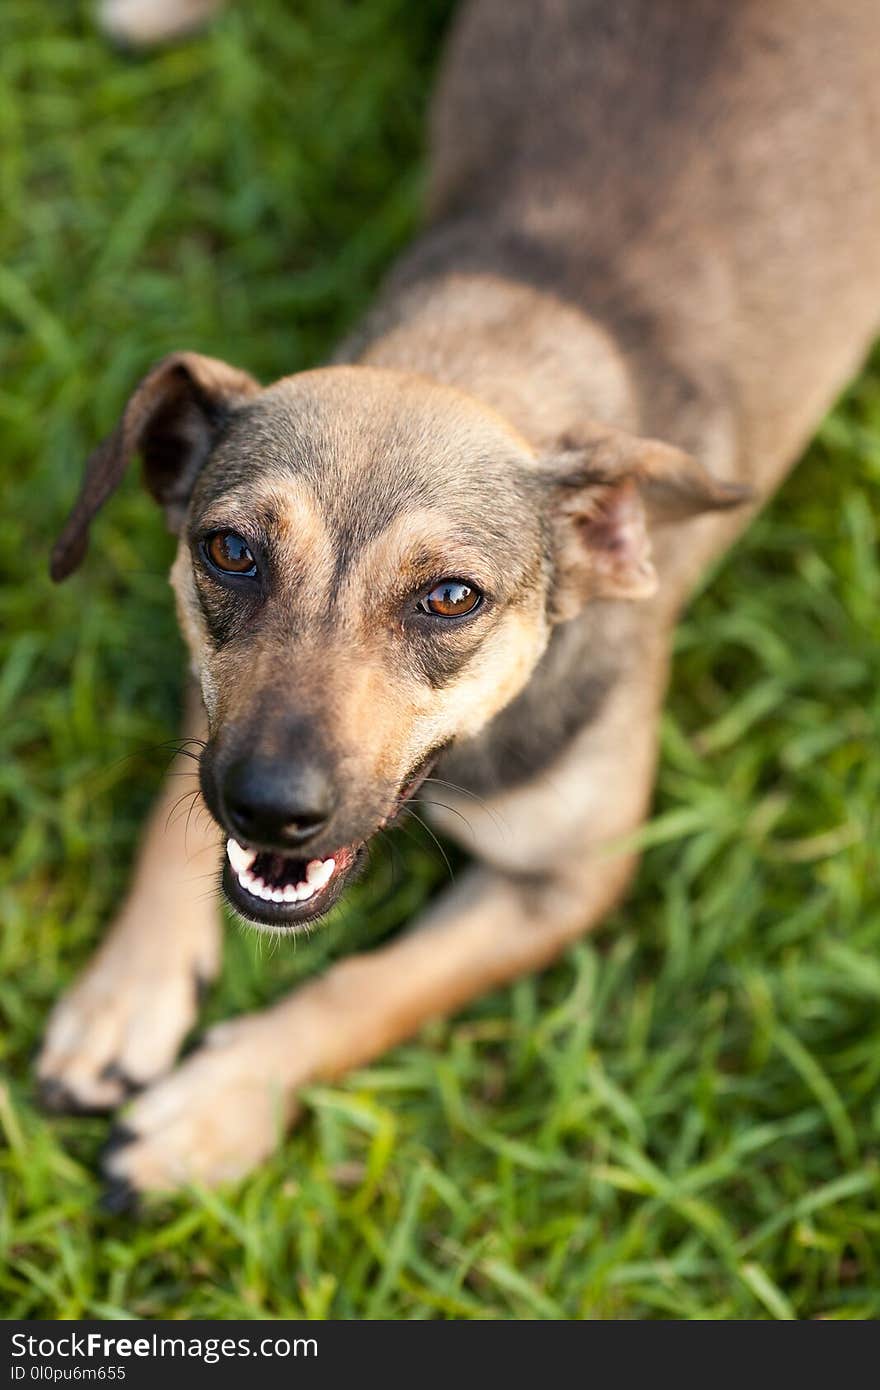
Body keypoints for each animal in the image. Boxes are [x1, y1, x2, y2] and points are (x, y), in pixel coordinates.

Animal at [41, 0, 878, 1200]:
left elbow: (367, 988)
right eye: (228, 551)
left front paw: (214, 1107)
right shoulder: (215, 720)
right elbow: (173, 804)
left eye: (449, 597)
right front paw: (123, 996)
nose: (269, 807)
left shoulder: (562, 882)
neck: (479, 361)